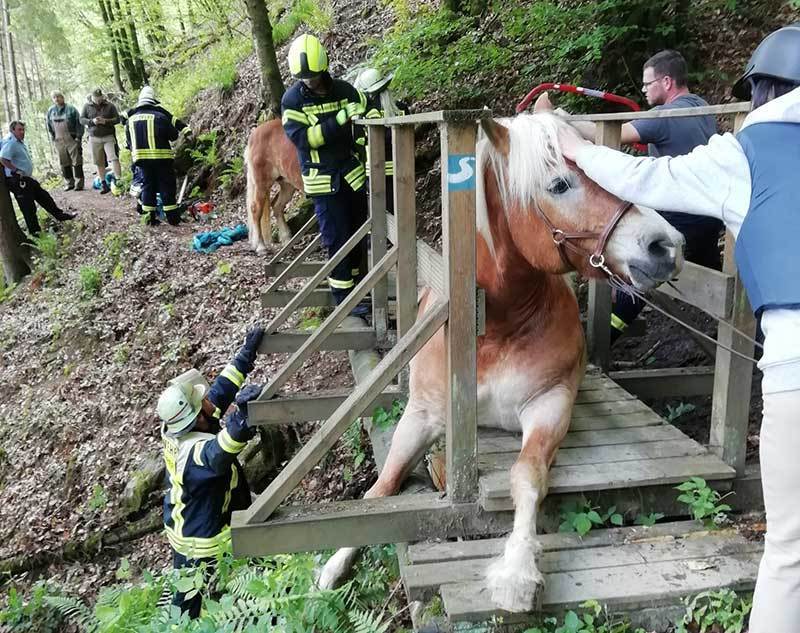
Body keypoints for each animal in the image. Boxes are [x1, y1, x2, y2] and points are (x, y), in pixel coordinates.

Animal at [244, 119, 303, 253]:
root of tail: (253, 136)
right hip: (262, 185)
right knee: (256, 210)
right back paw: (261, 247)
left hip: (288, 183)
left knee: (277, 206)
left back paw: (287, 240)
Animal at [317, 101, 685, 613]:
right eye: (559, 185)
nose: (667, 244)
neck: (494, 330)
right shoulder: (422, 414)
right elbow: (381, 488)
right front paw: (334, 564)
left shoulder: (550, 404)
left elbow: (526, 477)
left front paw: (516, 572)